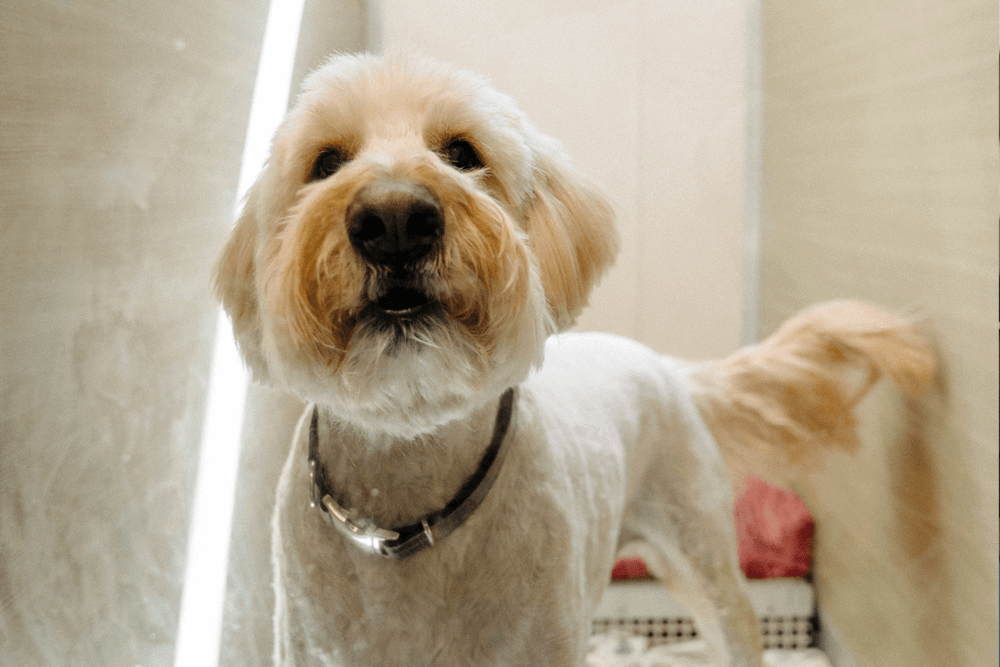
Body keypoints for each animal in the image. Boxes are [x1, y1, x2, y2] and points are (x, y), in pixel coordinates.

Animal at [213, 52, 936, 667]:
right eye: (325, 162)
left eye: (462, 153)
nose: (394, 219)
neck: (409, 500)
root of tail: (666, 365)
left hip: (703, 554)